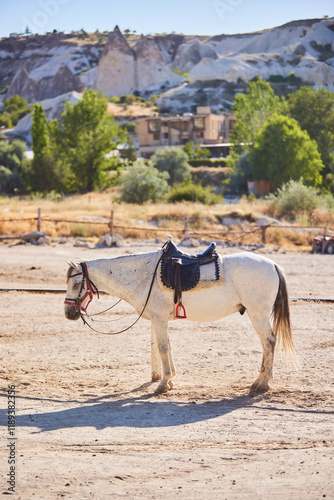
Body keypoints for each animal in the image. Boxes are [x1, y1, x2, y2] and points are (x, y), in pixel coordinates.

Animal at [64, 246, 296, 394]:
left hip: (258, 314)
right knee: (267, 343)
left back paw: (263, 383)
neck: (142, 275)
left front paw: (164, 383)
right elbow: (167, 347)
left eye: (75, 284)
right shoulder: (160, 321)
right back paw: (259, 381)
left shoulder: (158, 320)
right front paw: (171, 379)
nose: (68, 313)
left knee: (269, 341)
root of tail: (273, 264)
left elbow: (162, 348)